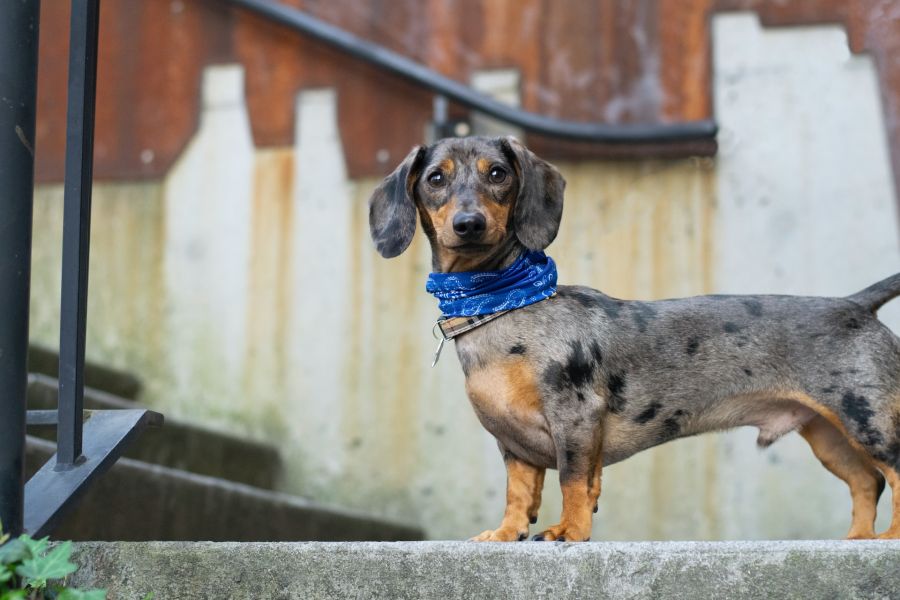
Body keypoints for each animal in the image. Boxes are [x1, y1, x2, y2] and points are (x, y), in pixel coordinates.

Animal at [368, 136, 900, 544]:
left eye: (498, 173)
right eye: (435, 178)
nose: (469, 224)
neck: (503, 304)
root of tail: (856, 304)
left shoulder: (575, 418)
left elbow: (574, 481)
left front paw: (569, 532)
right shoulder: (513, 443)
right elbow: (519, 494)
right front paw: (505, 533)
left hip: (868, 419)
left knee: (893, 474)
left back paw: (888, 538)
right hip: (829, 432)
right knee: (866, 482)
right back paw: (858, 539)